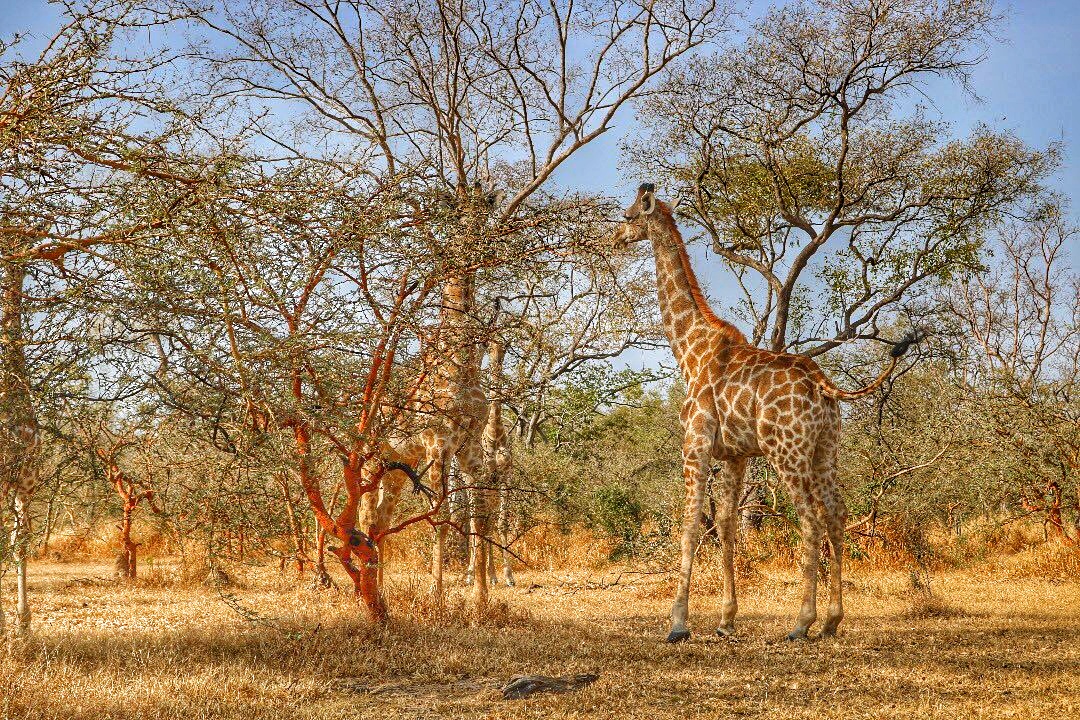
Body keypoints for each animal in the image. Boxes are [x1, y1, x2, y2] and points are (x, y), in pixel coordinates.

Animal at [617, 184, 920, 643]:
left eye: (630, 215)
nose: (616, 238)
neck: (689, 349)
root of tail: (822, 383)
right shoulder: (735, 455)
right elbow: (726, 526)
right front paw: (726, 620)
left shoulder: (695, 444)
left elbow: (690, 526)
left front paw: (678, 624)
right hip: (825, 450)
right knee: (836, 514)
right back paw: (832, 620)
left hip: (786, 451)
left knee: (810, 519)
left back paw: (802, 623)